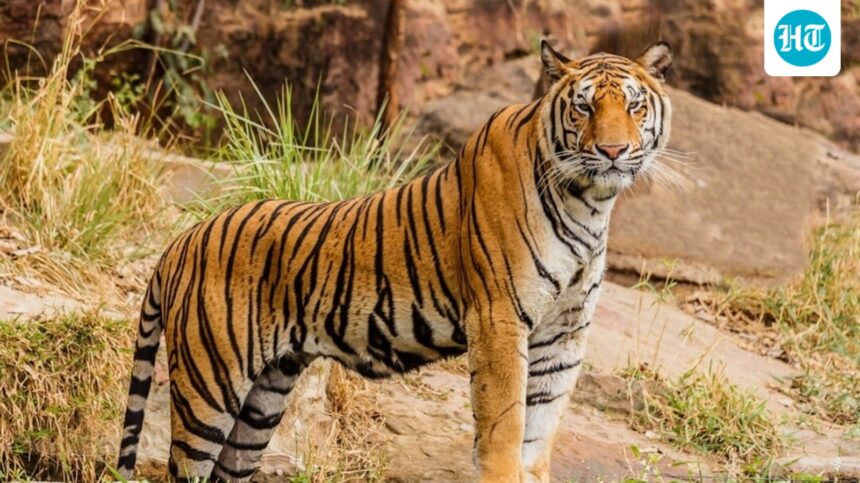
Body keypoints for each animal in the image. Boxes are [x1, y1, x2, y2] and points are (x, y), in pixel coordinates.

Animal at [116, 40, 673, 482]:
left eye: (634, 106)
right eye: (583, 107)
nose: (613, 150)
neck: (590, 203)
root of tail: (181, 240)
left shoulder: (564, 333)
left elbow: (539, 430)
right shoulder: (499, 319)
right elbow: (505, 426)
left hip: (263, 399)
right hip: (209, 387)